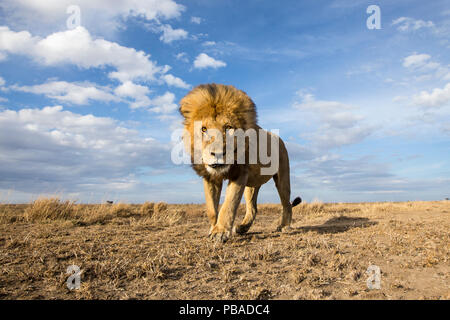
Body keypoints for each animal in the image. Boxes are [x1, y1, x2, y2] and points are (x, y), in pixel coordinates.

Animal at [178, 83, 300, 242]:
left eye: (228, 127)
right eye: (203, 129)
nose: (217, 153)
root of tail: (279, 139)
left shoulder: (240, 174)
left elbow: (229, 204)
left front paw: (220, 232)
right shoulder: (211, 178)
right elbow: (211, 208)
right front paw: (213, 229)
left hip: (282, 177)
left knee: (287, 203)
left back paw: (284, 226)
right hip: (252, 185)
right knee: (253, 208)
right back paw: (242, 228)